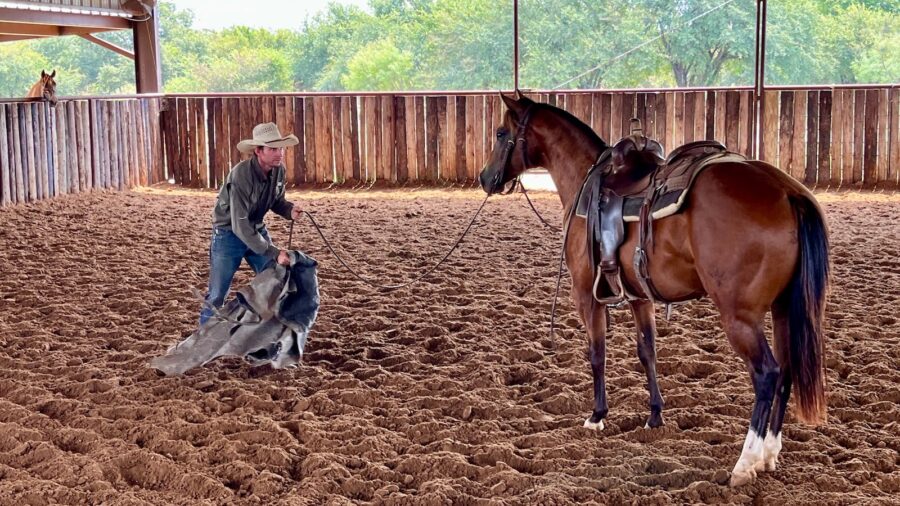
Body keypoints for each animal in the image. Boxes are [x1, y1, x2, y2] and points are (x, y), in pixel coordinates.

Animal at [479, 93, 829, 487]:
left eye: (501, 132)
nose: (485, 178)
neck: (585, 182)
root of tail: (788, 192)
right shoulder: (639, 297)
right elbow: (647, 351)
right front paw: (655, 415)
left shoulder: (586, 294)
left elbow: (597, 353)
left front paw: (597, 415)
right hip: (784, 309)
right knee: (786, 370)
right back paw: (769, 453)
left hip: (740, 317)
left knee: (767, 374)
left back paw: (745, 462)